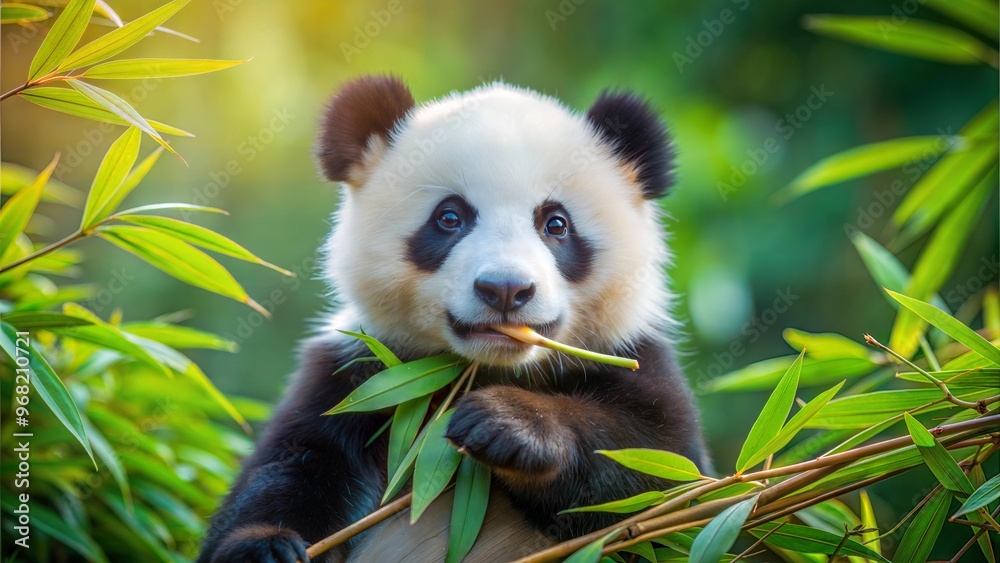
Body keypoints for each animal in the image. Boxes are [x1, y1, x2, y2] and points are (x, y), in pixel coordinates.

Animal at [198, 75, 709, 563]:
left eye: (556, 224)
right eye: (449, 217)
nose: (506, 289)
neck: (484, 368)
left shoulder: (628, 354)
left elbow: (657, 469)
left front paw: (506, 424)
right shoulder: (362, 373)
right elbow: (295, 467)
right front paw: (264, 546)